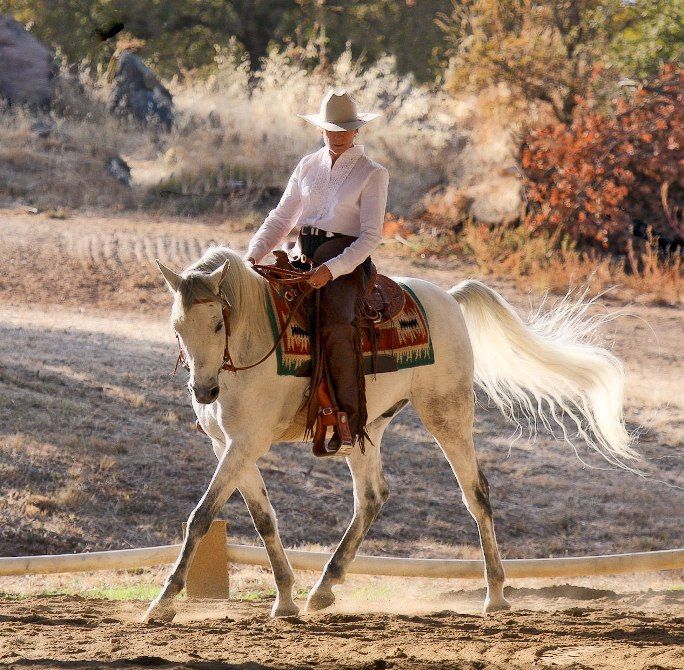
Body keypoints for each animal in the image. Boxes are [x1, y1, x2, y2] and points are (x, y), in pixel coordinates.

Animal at [147, 247, 640, 624]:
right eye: (177, 327)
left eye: (216, 324)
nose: (203, 390)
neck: (253, 338)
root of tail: (448, 299)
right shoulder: (230, 445)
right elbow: (264, 518)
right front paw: (285, 599)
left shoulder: (246, 443)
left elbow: (202, 516)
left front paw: (163, 602)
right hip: (363, 426)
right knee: (372, 497)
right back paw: (324, 587)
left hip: (447, 414)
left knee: (475, 492)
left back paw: (496, 594)